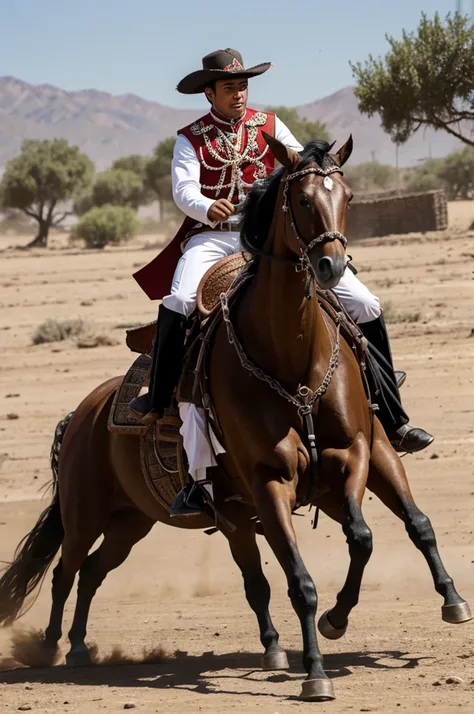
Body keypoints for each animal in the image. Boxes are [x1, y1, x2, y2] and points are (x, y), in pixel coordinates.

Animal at [0, 134, 468, 700]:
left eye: (348, 196)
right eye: (303, 199)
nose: (332, 266)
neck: (293, 362)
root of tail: (80, 416)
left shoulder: (353, 455)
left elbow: (371, 535)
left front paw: (342, 620)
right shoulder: (269, 482)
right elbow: (298, 581)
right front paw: (315, 670)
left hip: (133, 521)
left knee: (92, 572)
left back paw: (79, 648)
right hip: (85, 512)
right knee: (67, 571)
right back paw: (49, 647)